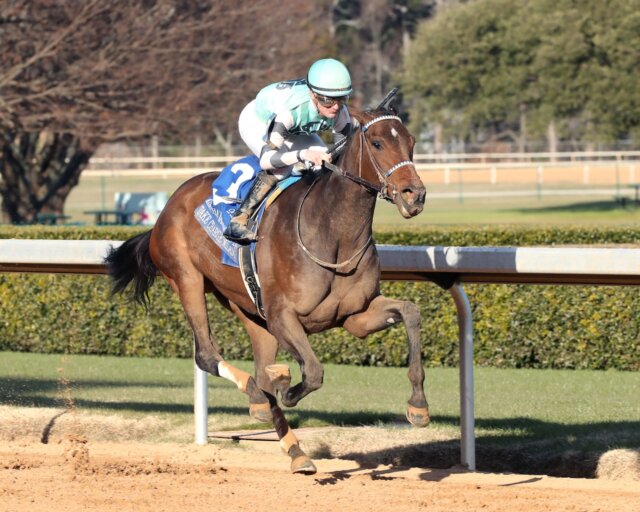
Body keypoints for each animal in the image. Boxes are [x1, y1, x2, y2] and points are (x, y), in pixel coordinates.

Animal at [105, 105, 428, 476]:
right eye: (376, 143)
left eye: (411, 141)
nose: (415, 195)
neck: (333, 232)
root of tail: (167, 207)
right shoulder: (283, 316)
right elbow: (313, 372)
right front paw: (287, 388)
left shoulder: (355, 316)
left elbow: (410, 312)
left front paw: (418, 406)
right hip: (187, 278)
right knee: (209, 356)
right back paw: (261, 397)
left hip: (247, 308)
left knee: (259, 369)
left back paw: (295, 449)